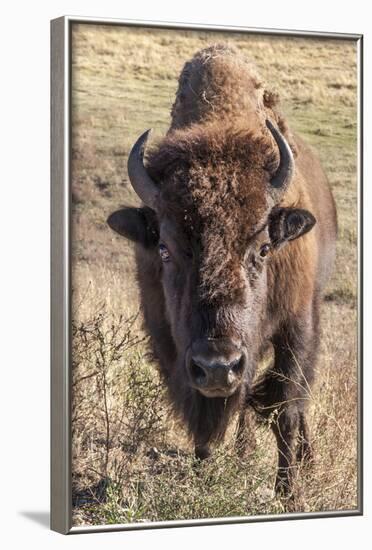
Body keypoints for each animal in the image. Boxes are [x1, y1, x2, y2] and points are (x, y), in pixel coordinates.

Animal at [107, 45, 338, 498]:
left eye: (263, 248)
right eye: (164, 248)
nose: (217, 365)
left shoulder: (297, 325)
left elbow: (288, 406)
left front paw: (288, 492)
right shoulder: (170, 341)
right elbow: (202, 415)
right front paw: (203, 473)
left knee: (294, 401)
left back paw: (306, 459)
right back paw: (244, 453)